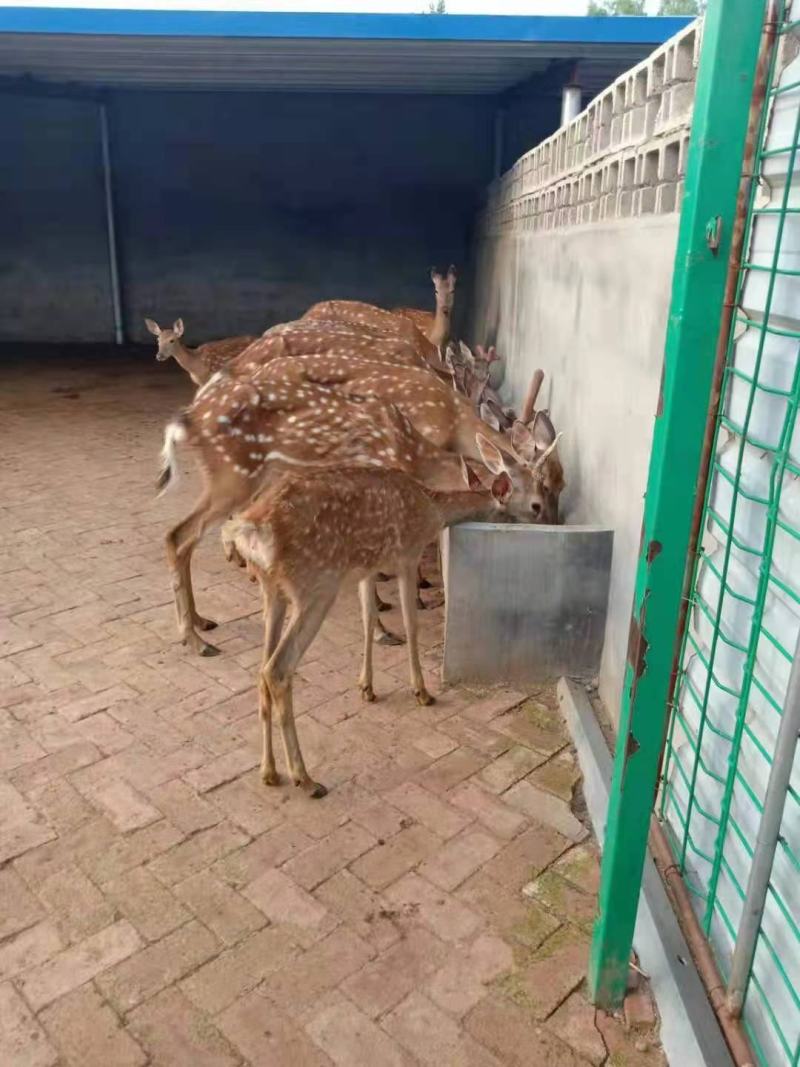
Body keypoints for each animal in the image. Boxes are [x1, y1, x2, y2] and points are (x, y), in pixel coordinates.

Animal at [220, 442, 548, 799]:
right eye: (536, 505)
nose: (546, 522)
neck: (432, 510)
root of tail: (252, 530)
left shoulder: (368, 567)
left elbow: (368, 619)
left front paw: (367, 686)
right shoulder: (406, 555)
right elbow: (411, 624)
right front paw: (422, 691)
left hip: (272, 590)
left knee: (260, 670)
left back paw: (268, 771)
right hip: (315, 585)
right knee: (277, 669)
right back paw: (305, 778)